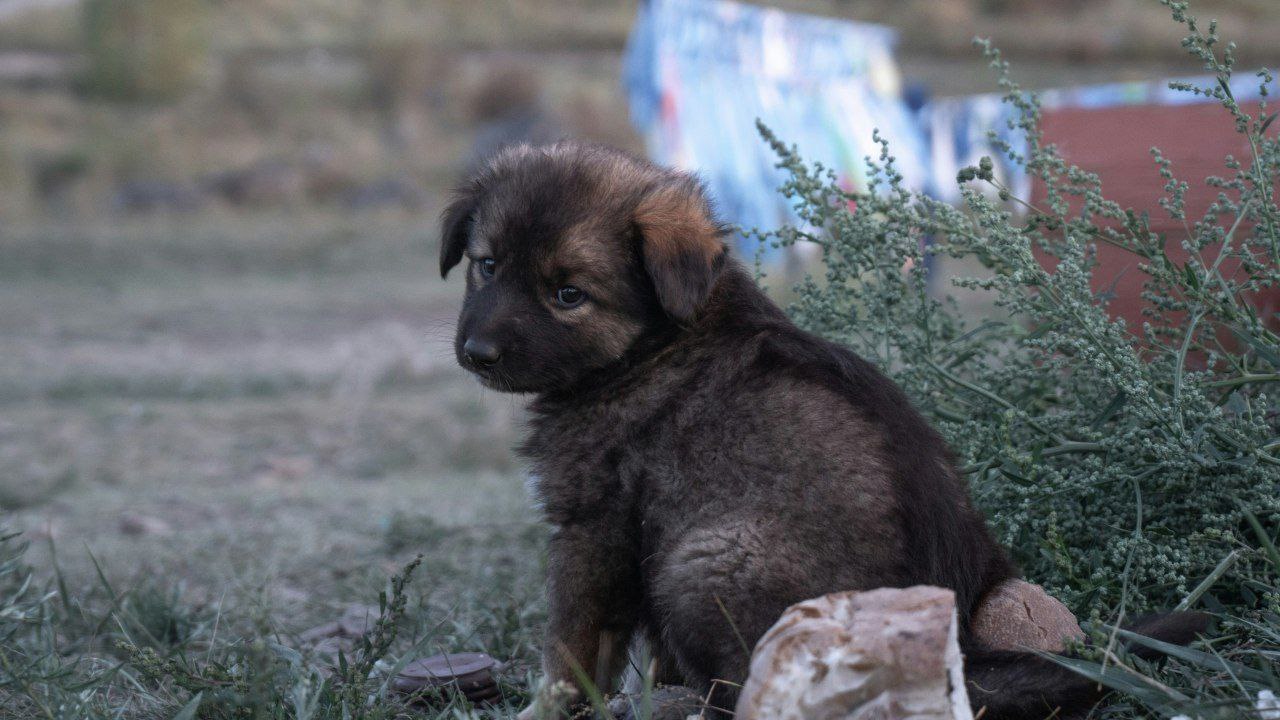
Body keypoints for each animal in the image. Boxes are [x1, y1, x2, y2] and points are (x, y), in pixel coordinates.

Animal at [442, 142, 1208, 712]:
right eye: (487, 265)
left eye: (569, 294)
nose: (476, 353)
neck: (652, 341)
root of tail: (958, 654)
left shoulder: (596, 528)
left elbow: (573, 648)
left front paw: (548, 708)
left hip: (701, 559)